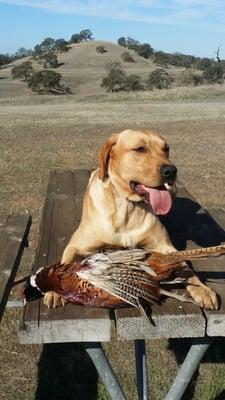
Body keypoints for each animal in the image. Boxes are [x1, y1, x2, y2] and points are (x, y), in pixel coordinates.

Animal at [43, 128, 218, 310]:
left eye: (166, 149)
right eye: (140, 149)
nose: (171, 170)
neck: (127, 207)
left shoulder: (166, 247)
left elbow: (185, 264)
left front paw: (202, 289)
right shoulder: (75, 245)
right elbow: (64, 262)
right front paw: (54, 288)